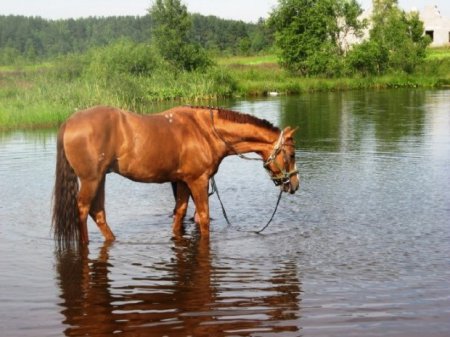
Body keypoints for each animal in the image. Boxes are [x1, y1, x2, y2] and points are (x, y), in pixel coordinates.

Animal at [51, 104, 298, 244]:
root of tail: (69, 122)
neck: (207, 131)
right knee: (83, 210)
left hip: (100, 178)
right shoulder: (198, 181)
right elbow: (203, 218)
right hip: (91, 179)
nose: (294, 184)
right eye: (292, 154)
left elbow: (179, 214)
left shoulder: (181, 182)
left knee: (98, 212)